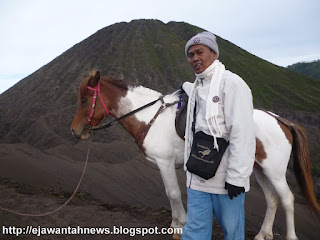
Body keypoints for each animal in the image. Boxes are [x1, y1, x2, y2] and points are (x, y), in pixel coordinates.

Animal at [71, 70, 318, 239]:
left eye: (84, 100)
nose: (75, 130)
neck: (149, 117)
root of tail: (280, 120)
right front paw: (177, 223)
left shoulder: (165, 163)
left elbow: (172, 193)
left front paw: (179, 225)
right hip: (259, 169)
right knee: (272, 199)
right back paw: (261, 234)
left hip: (274, 170)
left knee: (287, 199)